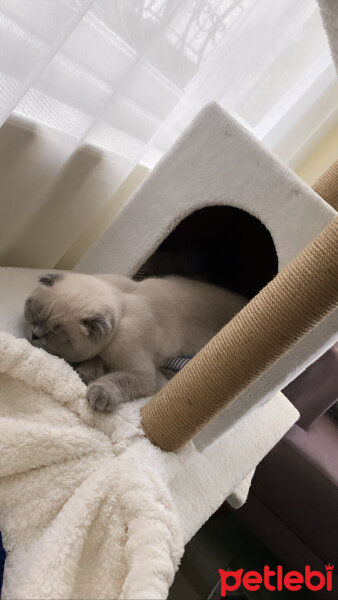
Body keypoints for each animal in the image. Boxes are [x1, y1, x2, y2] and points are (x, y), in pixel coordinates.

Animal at [23, 274, 246, 410]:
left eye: (55, 333)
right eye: (35, 315)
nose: (34, 334)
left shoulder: (142, 374)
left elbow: (116, 379)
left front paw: (97, 391)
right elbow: (95, 364)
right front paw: (85, 372)